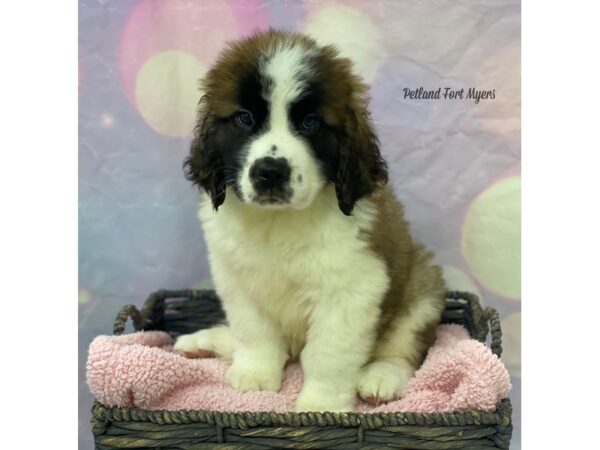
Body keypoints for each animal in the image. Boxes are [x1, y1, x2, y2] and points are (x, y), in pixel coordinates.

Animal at [173, 29, 446, 414]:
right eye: (244, 118)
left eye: (310, 123)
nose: (270, 172)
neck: (277, 221)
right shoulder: (237, 279)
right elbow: (253, 332)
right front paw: (255, 376)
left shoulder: (352, 289)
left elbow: (328, 355)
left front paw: (322, 406)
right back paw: (203, 341)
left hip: (423, 286)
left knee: (405, 347)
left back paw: (382, 377)